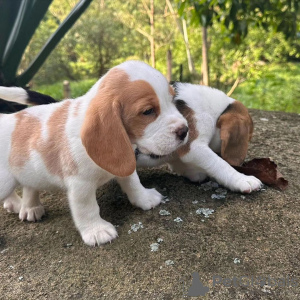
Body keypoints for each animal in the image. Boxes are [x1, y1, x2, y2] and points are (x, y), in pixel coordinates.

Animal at [0, 60, 189, 246]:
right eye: (148, 111)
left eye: (173, 99)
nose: (185, 130)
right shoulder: (80, 185)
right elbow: (87, 208)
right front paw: (96, 230)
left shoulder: (124, 163)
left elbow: (133, 182)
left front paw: (144, 198)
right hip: (5, 182)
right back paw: (16, 204)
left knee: (30, 185)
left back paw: (30, 207)